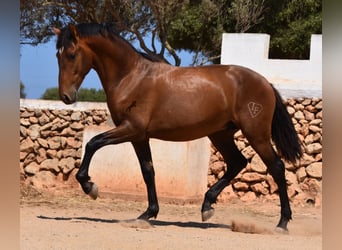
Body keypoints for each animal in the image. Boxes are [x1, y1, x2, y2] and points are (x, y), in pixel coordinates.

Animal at [52, 23, 302, 230]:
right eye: (57, 55)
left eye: (71, 54)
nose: (66, 96)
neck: (131, 76)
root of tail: (265, 83)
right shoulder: (139, 136)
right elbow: (148, 171)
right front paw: (148, 214)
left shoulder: (131, 129)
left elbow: (93, 143)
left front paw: (90, 186)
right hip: (221, 134)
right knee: (237, 162)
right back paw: (207, 206)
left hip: (256, 134)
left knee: (277, 167)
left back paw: (282, 223)